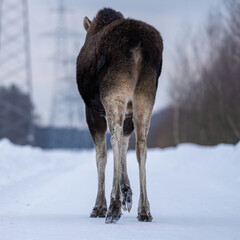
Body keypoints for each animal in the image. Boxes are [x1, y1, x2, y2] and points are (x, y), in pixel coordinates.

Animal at [77, 7, 163, 225]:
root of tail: (138, 45)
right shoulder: (130, 113)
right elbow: (126, 146)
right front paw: (127, 193)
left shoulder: (91, 111)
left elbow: (101, 155)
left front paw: (100, 206)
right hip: (146, 94)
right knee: (141, 143)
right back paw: (144, 209)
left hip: (114, 91)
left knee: (114, 137)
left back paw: (113, 208)